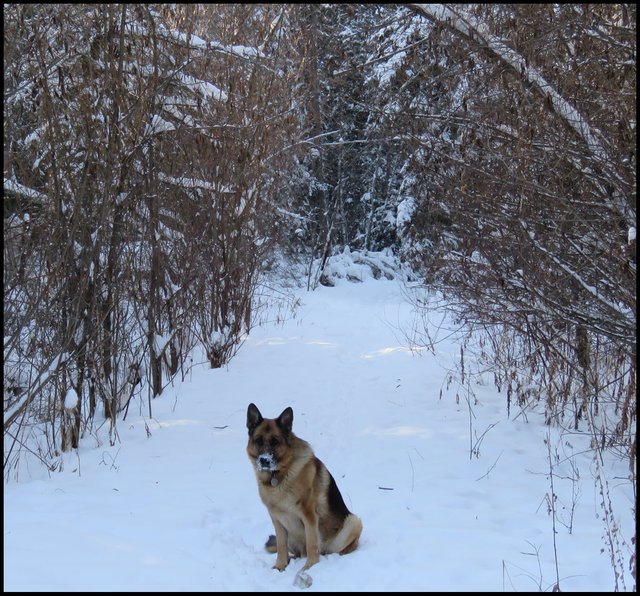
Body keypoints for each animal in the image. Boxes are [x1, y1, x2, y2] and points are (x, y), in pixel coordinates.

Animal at [248, 402, 362, 572]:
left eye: (275, 441)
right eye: (259, 440)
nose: (264, 460)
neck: (279, 476)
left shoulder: (309, 515)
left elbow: (312, 543)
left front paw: (310, 567)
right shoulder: (277, 519)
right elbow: (281, 546)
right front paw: (280, 566)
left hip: (353, 522)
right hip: (291, 535)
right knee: (296, 552)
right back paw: (292, 559)